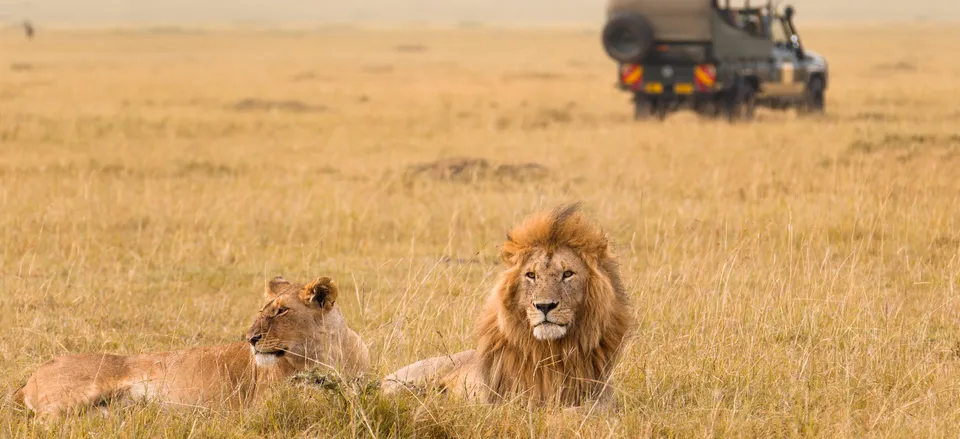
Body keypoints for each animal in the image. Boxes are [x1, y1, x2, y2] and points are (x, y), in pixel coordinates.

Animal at [13, 276, 372, 418]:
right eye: (264, 309)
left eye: (282, 311)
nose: (251, 339)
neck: (327, 354)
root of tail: (31, 377)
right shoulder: (263, 406)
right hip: (74, 395)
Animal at [378, 205, 632, 410]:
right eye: (531, 275)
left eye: (568, 274)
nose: (544, 306)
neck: (550, 351)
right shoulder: (501, 401)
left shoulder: (601, 399)